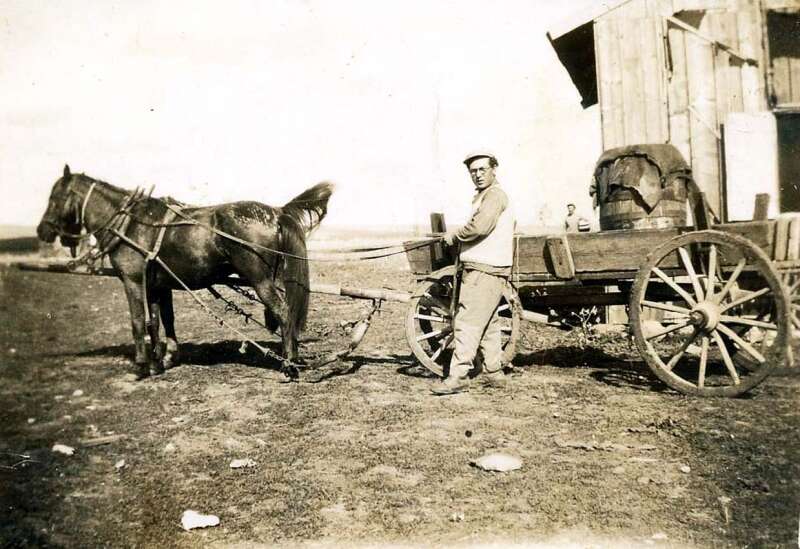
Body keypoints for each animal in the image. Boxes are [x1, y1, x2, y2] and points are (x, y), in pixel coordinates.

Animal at [37, 165, 333, 380]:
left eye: (54, 198)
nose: (42, 231)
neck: (131, 224)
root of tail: (276, 212)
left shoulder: (132, 280)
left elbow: (137, 322)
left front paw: (141, 366)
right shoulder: (157, 284)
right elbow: (158, 321)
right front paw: (160, 362)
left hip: (260, 280)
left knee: (283, 311)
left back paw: (289, 365)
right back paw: (292, 356)